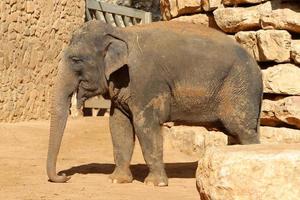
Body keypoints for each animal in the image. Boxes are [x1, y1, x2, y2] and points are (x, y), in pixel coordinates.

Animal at [47, 20, 262, 186]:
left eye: (76, 60)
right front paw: (117, 180)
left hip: (240, 87)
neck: (120, 33)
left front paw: (154, 184)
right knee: (236, 133)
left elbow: (145, 125)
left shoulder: (145, 81)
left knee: (241, 129)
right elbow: (118, 126)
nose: (64, 176)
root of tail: (258, 68)